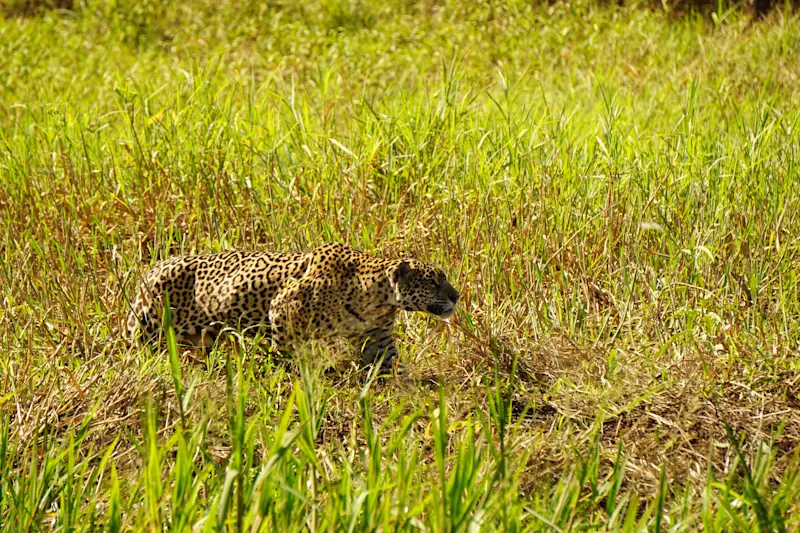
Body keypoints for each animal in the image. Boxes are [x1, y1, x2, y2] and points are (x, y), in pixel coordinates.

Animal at [126, 242, 460, 374]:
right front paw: (287, 374)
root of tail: (151, 270)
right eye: (433, 281)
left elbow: (390, 363)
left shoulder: (378, 338)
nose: (457, 296)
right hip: (146, 327)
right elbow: (284, 352)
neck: (378, 298)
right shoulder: (282, 308)